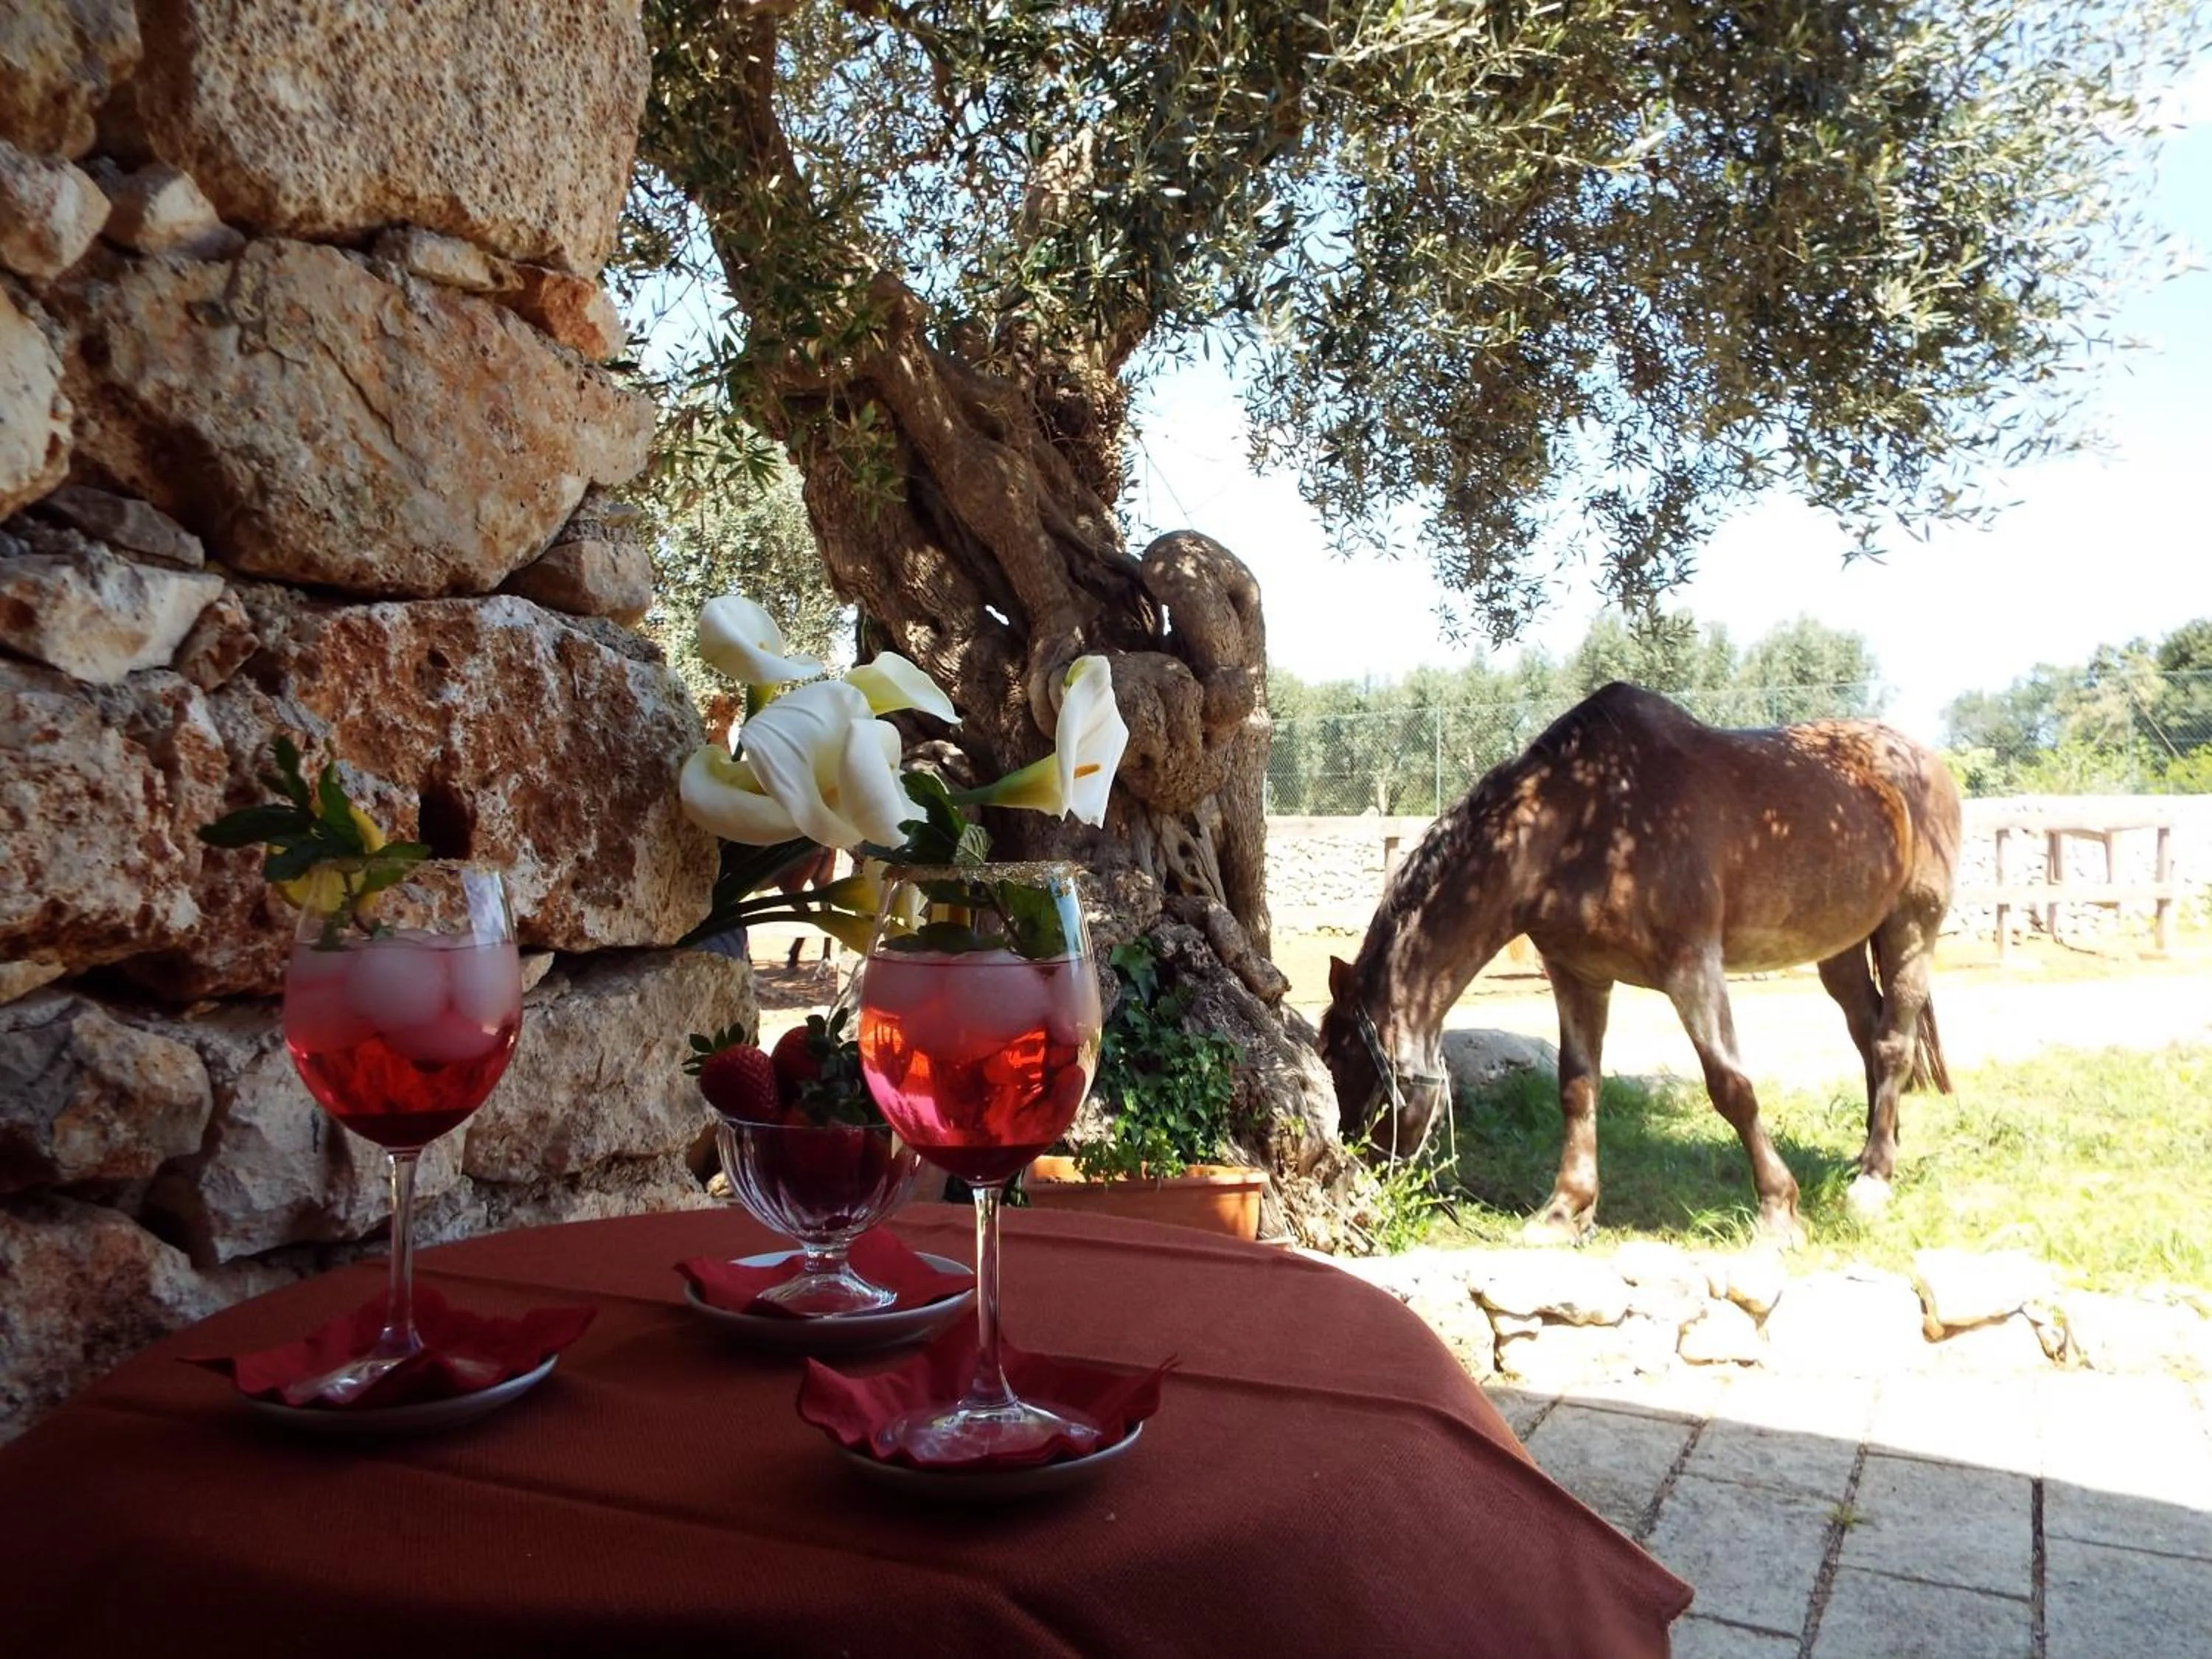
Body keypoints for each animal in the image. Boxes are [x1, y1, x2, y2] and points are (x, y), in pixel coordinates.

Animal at [1316, 681, 1960, 1246]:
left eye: (1348, 1062)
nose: (1358, 1182)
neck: (1584, 821)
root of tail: (1924, 761)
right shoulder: (1578, 975)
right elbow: (1577, 1087)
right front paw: (1564, 1212)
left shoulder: (1693, 969)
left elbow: (1732, 1086)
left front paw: (1778, 1211)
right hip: (1842, 949)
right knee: (1866, 1031)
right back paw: (1872, 1152)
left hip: (1911, 929)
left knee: (1892, 1044)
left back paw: (1873, 1180)